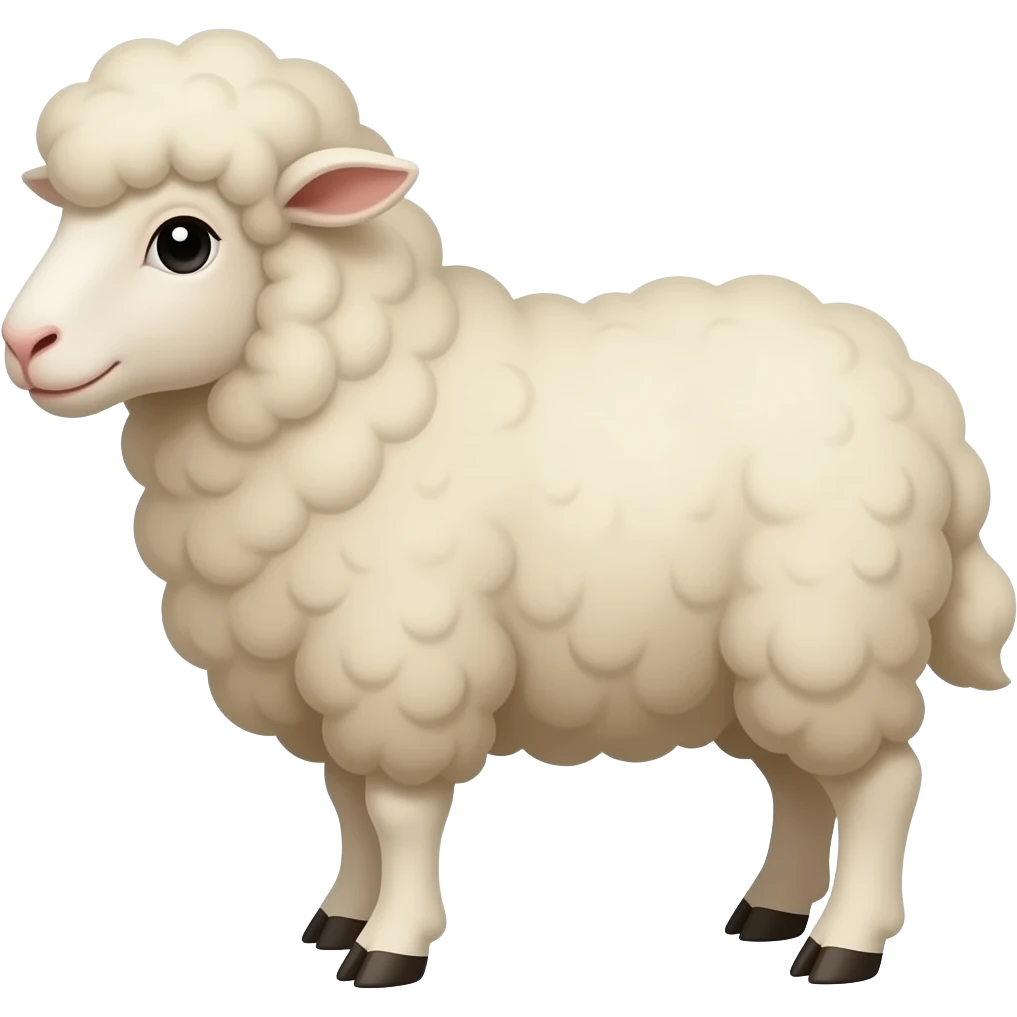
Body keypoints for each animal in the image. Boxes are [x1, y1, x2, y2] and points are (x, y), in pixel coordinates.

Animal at [4, 28, 1014, 991]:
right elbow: (348, 804)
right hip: (753, 657)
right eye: (64, 214)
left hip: (831, 627)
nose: (24, 340)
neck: (366, 389)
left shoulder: (403, 654)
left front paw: (389, 948)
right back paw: (768, 911)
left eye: (184, 241)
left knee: (882, 781)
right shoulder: (324, 666)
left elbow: (396, 810)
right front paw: (339, 916)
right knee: (802, 784)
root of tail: (919, 388)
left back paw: (842, 945)